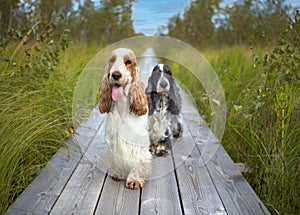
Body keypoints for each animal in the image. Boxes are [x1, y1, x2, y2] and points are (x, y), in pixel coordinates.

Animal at [98, 48, 151, 188]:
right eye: (112, 60)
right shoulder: (114, 140)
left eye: (128, 62)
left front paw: (135, 180)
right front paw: (117, 173)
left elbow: (140, 160)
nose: (116, 75)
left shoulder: (138, 142)